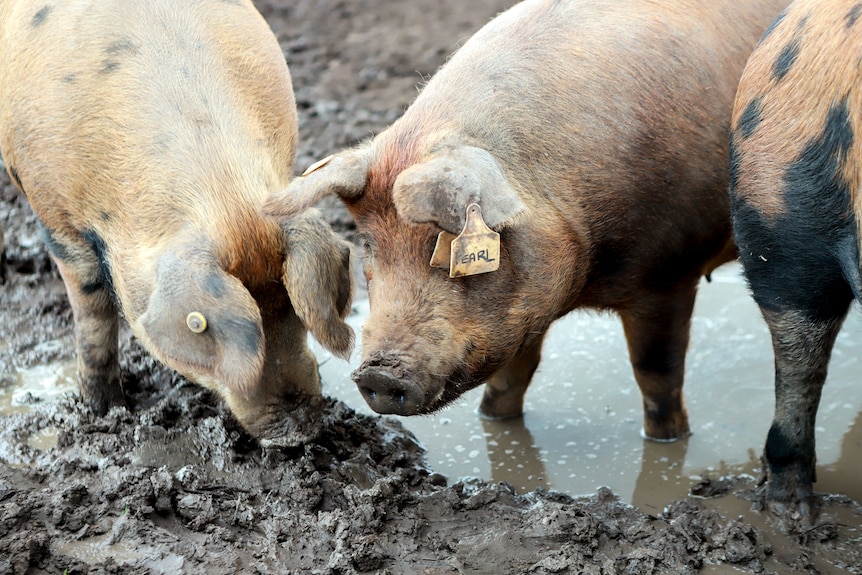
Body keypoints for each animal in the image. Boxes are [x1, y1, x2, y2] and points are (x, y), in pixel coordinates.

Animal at [0, 0, 356, 446]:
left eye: (292, 305)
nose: (298, 434)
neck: (221, 193)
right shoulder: (56, 219)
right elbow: (93, 319)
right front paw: (107, 411)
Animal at [266, 0, 792, 444]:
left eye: (447, 248)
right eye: (370, 247)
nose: (377, 372)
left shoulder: (670, 273)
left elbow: (656, 375)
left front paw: (671, 442)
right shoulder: (521, 313)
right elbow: (512, 376)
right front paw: (496, 424)